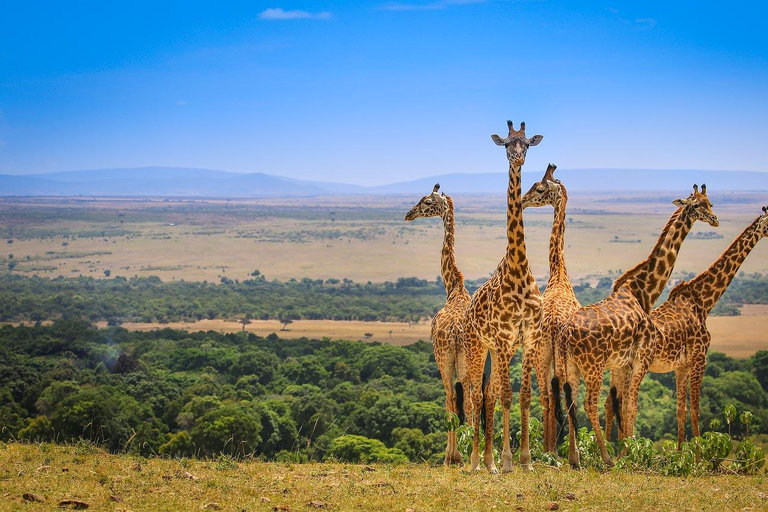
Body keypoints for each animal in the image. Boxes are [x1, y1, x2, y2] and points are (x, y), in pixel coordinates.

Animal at [556, 184, 716, 468]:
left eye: (710, 203)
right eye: (697, 205)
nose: (715, 220)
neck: (643, 292)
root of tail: (565, 334)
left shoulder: (624, 363)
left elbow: (624, 405)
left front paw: (627, 451)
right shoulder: (640, 359)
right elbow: (631, 406)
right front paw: (628, 455)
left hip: (571, 366)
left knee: (572, 402)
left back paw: (575, 459)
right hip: (593, 366)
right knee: (588, 403)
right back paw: (606, 458)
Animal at [608, 205, 768, 448]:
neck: (704, 301)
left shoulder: (681, 365)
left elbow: (680, 411)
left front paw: (680, 451)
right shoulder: (700, 357)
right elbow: (696, 411)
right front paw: (697, 454)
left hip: (619, 367)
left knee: (611, 404)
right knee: (621, 404)